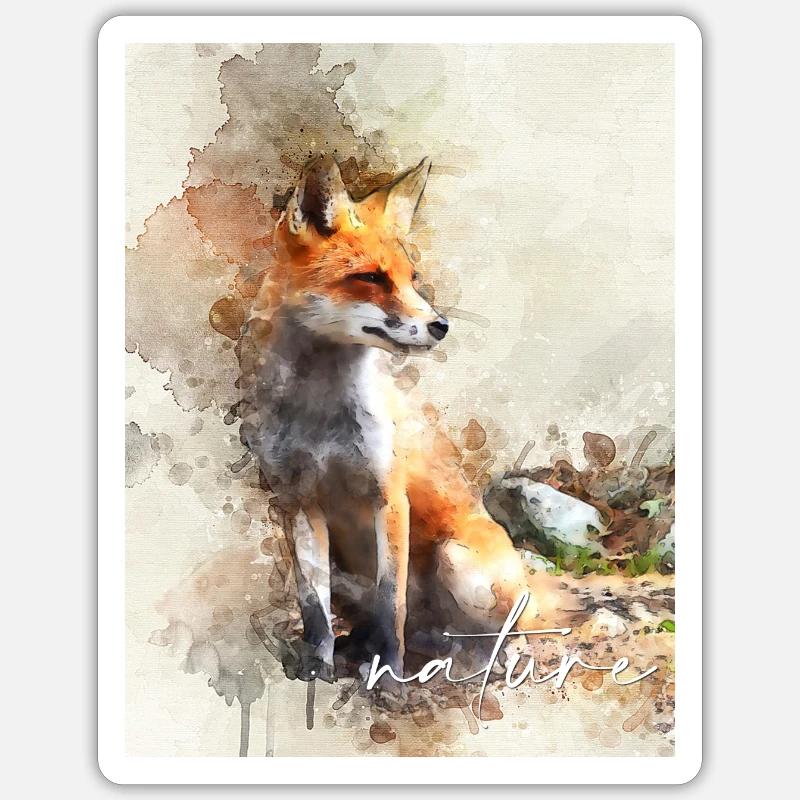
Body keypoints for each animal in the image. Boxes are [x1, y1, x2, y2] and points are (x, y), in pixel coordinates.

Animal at [236, 154, 638, 684]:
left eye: (412, 278)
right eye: (372, 278)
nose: (441, 325)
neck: (320, 415)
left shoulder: (389, 496)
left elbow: (392, 602)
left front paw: (388, 673)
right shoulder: (297, 502)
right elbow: (313, 607)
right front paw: (316, 667)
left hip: (459, 562)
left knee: (506, 627)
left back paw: (481, 661)